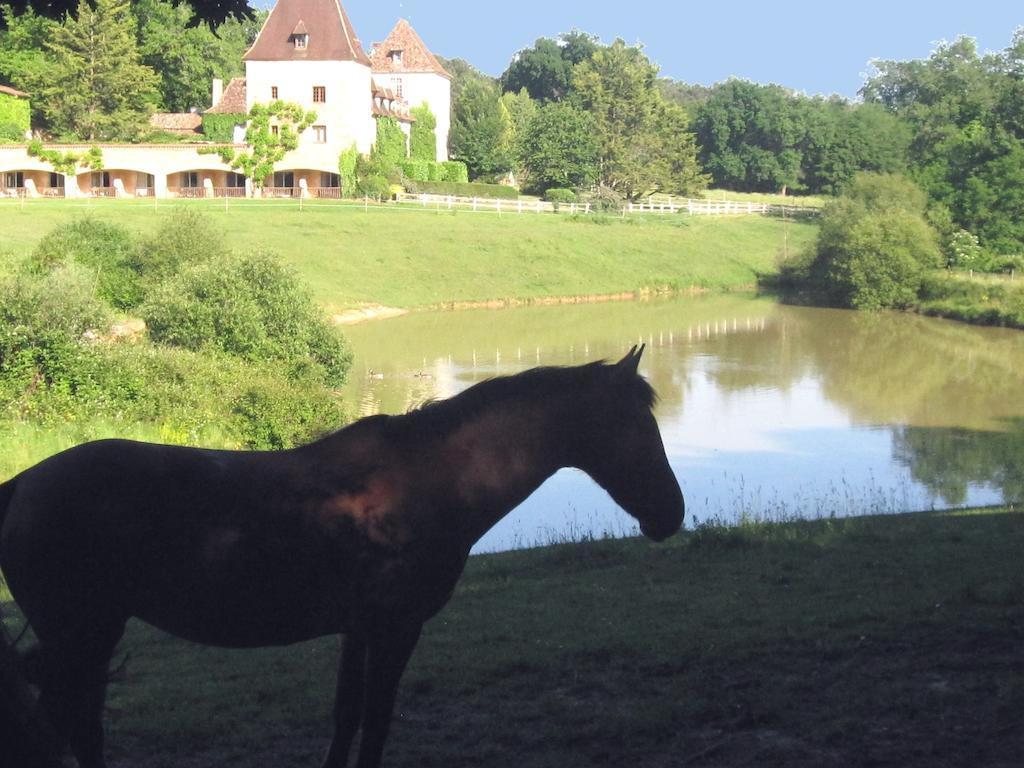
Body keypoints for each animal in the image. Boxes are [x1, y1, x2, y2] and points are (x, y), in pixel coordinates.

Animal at [2, 346, 688, 765]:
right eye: (637, 428)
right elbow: (377, 718)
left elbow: (347, 716)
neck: (430, 479)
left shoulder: (358, 630)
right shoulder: (395, 628)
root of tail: (22, 484)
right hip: (83, 637)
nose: (672, 513)